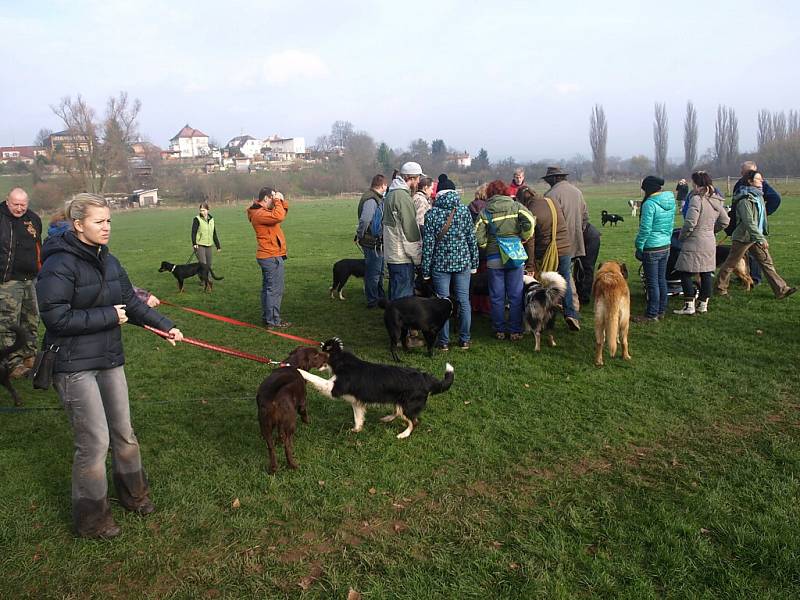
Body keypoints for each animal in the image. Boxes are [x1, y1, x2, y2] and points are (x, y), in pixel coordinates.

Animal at [258, 346, 330, 474]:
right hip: (290, 423)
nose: (327, 355)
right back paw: (292, 465)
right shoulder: (302, 403)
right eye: (316, 355)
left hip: (265, 425)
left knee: (271, 447)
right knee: (287, 446)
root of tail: (273, 397)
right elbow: (304, 413)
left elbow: (279, 432)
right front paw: (307, 422)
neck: (292, 364)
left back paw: (273, 468)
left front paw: (279, 439)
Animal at [296, 338, 454, 440]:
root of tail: (425, 377)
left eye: (319, 352)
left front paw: (298, 370)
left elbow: (315, 378)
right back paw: (387, 418)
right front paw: (356, 430)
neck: (342, 360)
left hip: (408, 405)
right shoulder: (356, 400)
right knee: (399, 412)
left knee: (414, 421)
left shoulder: (334, 389)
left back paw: (403, 435)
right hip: (400, 401)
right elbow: (358, 417)